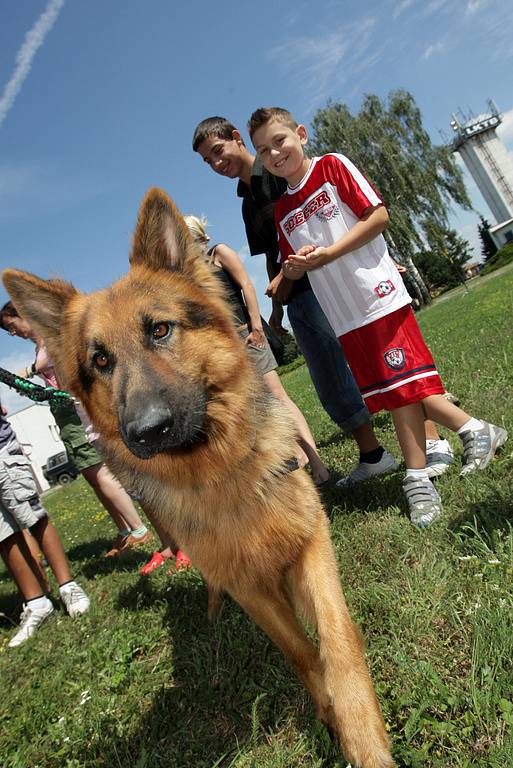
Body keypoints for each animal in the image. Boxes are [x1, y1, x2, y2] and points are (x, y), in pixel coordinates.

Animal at [3, 188, 392, 768]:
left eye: (160, 330)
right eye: (100, 360)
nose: (145, 431)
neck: (224, 474)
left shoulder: (310, 545)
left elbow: (336, 639)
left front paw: (361, 733)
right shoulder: (250, 587)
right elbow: (301, 652)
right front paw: (325, 707)